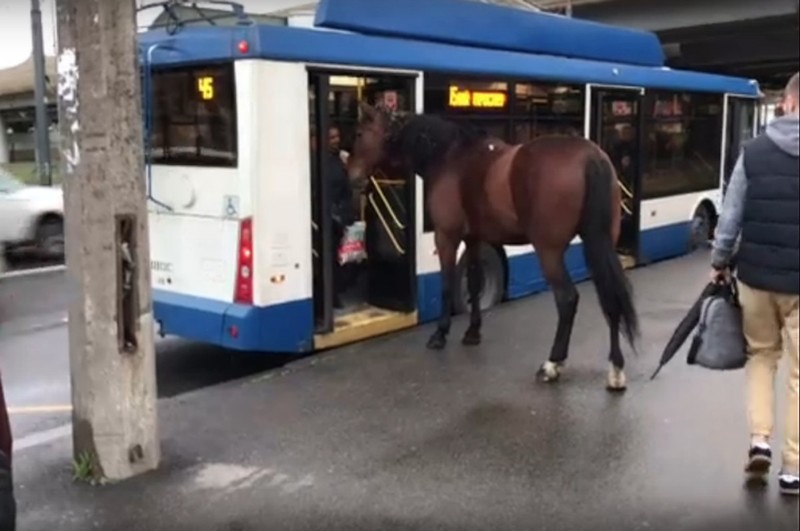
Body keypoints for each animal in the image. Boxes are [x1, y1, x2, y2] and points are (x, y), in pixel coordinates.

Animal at [347, 103, 640, 391]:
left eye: (360, 133)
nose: (352, 175)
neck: (449, 157)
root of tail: (592, 157)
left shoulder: (446, 236)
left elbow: (447, 283)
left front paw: (440, 333)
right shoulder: (474, 237)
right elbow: (475, 282)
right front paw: (473, 331)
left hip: (549, 251)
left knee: (567, 299)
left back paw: (553, 363)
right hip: (600, 243)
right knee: (610, 295)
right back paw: (616, 368)